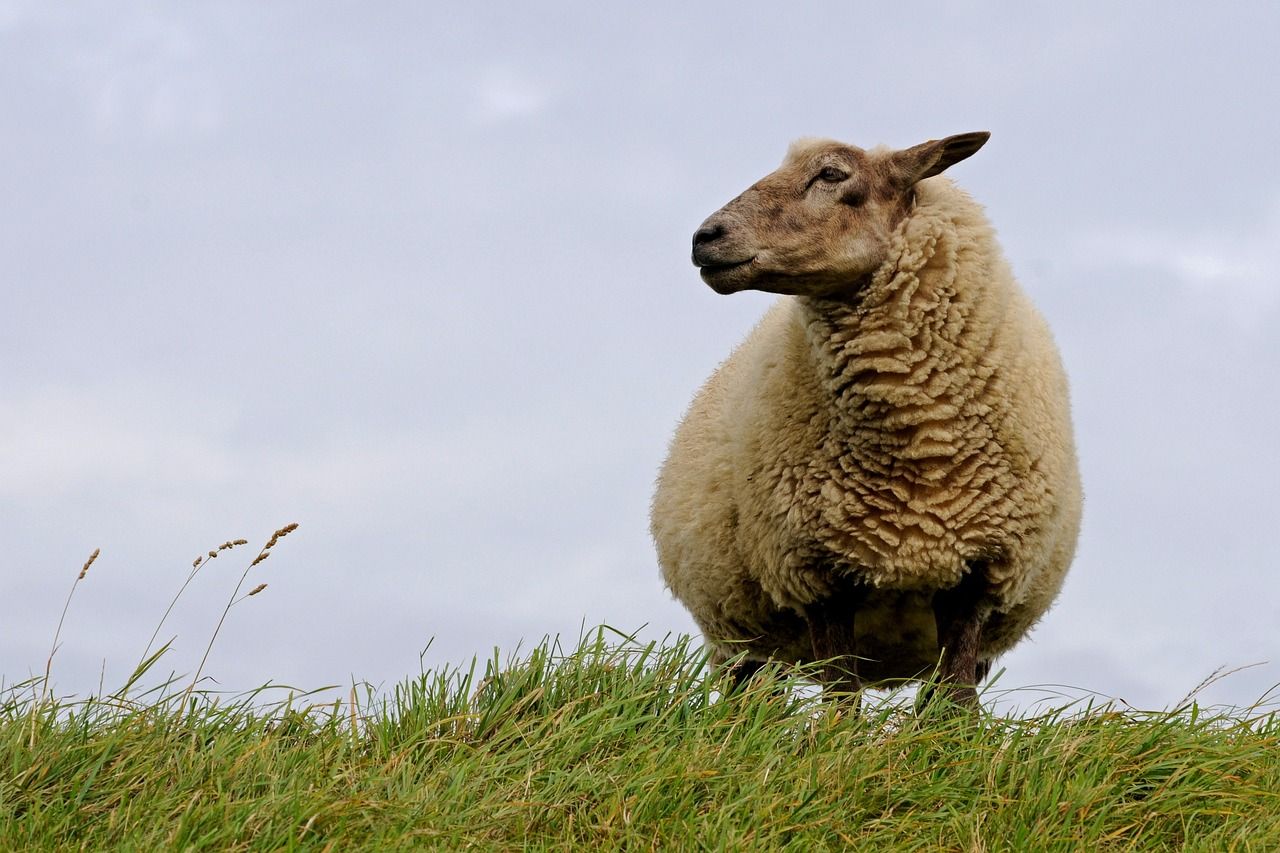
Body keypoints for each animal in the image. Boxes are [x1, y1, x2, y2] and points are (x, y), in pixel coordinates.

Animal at [651, 132, 1081, 706]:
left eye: (832, 174)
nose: (704, 238)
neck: (921, 445)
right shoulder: (815, 576)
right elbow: (842, 703)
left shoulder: (978, 576)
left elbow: (957, 706)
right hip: (745, 639)